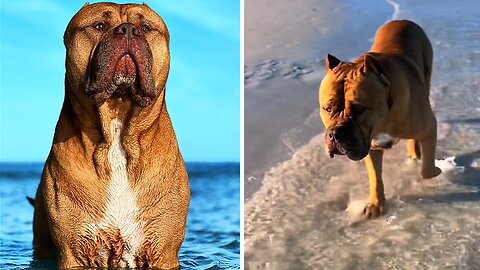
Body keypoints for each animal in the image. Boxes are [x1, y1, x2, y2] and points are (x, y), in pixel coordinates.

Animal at [320, 20, 440, 219]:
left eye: (359, 109)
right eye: (328, 109)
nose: (336, 134)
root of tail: (403, 21)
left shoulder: (429, 128)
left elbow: (427, 171)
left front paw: (435, 171)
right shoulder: (371, 148)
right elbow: (375, 178)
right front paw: (376, 204)